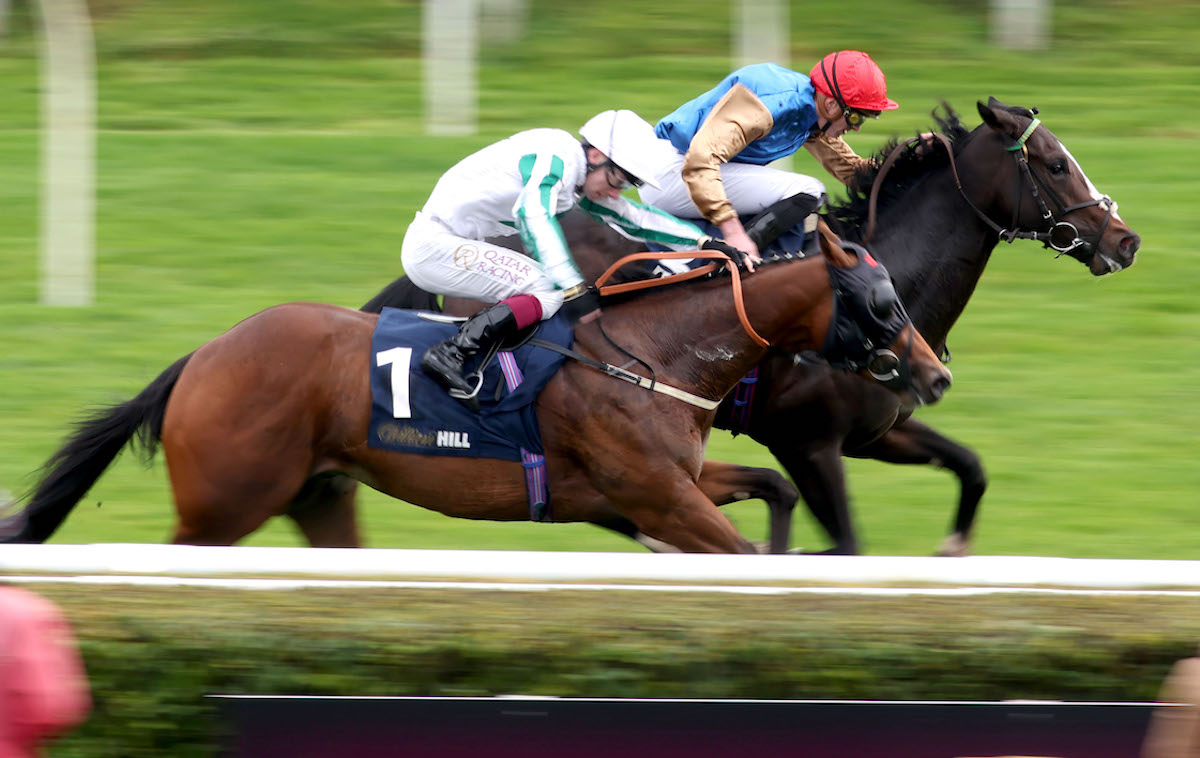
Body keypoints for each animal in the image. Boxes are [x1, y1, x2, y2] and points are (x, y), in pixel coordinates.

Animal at [2, 227, 945, 554]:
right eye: (883, 303)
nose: (936, 374)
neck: (653, 351)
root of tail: (203, 355)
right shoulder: (654, 493)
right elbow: (739, 545)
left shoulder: (665, 482)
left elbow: (776, 489)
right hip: (223, 506)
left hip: (321, 495)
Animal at [364, 98, 1142, 556]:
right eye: (1054, 164)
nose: (1126, 239)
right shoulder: (807, 442)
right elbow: (845, 543)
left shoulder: (877, 431)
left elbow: (970, 466)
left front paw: (952, 549)